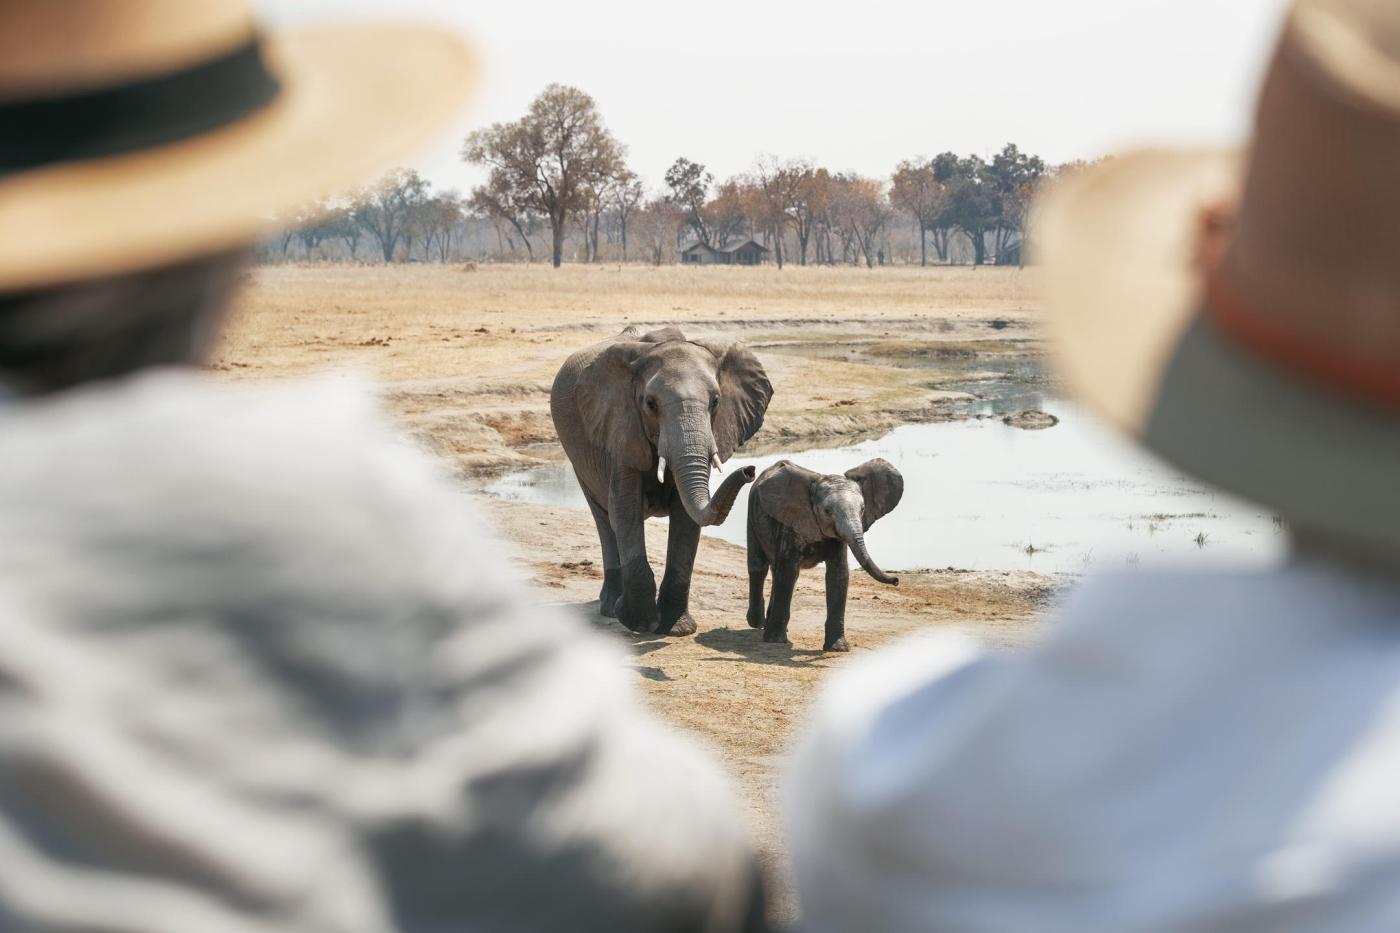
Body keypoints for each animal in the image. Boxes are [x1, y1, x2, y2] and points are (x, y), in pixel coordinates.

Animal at [548, 323, 772, 636]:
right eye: (650, 404)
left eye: (716, 402)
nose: (749, 471)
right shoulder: (619, 430)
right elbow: (625, 512)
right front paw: (640, 623)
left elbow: (686, 519)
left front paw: (676, 628)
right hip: (580, 458)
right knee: (603, 519)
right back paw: (611, 608)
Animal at [744, 456, 907, 647]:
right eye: (827, 511)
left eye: (862, 509)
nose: (896, 580)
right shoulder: (791, 522)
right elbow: (788, 572)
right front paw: (775, 641)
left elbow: (838, 573)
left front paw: (838, 647)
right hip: (752, 511)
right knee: (759, 566)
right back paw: (757, 623)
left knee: (776, 571)